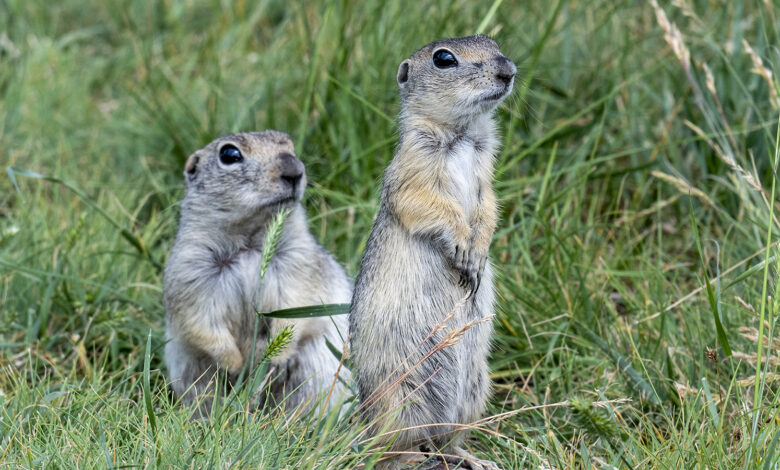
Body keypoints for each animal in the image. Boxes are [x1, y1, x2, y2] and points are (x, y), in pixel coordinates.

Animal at [165, 130, 350, 416]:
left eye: (289, 144)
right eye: (229, 154)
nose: (294, 170)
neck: (249, 242)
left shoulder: (298, 262)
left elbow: (294, 307)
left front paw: (274, 357)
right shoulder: (190, 269)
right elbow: (200, 320)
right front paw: (234, 363)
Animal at [350, 35, 516, 468]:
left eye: (494, 43)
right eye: (444, 59)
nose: (508, 70)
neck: (462, 136)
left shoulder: (486, 174)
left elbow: (489, 207)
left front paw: (478, 252)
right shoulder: (414, 165)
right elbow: (426, 203)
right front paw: (462, 246)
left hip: (475, 389)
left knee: (447, 440)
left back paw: (476, 459)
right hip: (399, 396)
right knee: (393, 447)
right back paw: (407, 458)